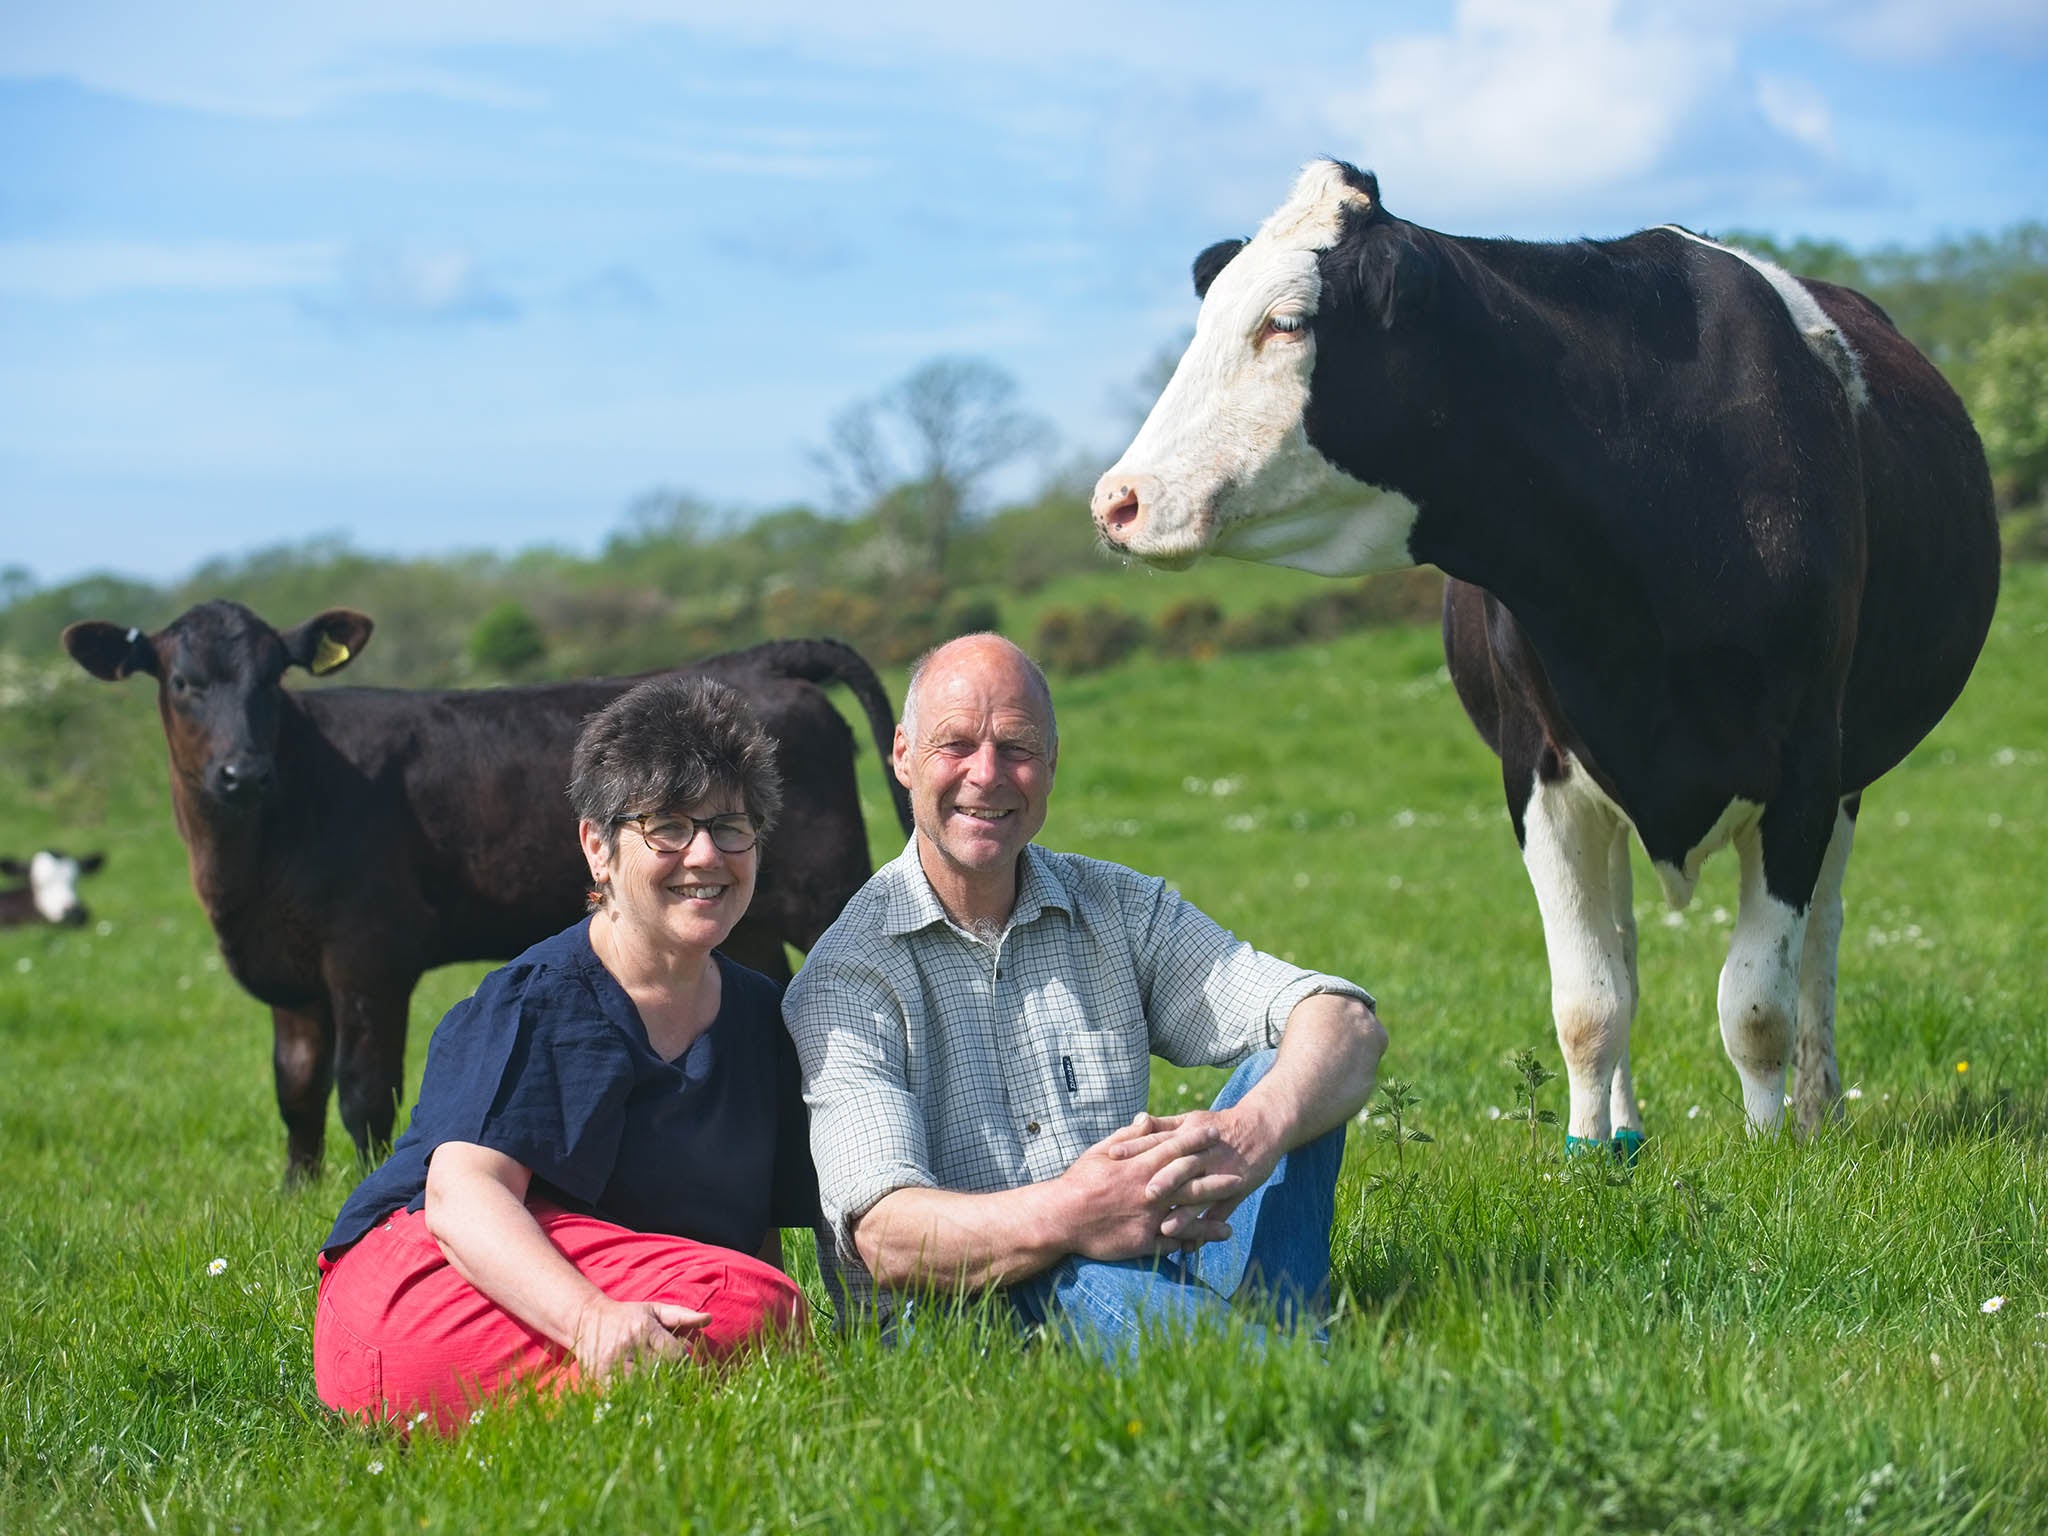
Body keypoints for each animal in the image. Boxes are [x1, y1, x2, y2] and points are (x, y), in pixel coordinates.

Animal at [1089, 162, 1998, 1163]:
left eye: (1285, 322)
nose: (1118, 501)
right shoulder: (1538, 768)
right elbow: (1589, 1002)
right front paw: (1585, 1152)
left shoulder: (1805, 766)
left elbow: (1756, 1003)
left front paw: (1771, 1153)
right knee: (1625, 948)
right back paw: (1627, 1131)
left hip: (1845, 775)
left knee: (1821, 947)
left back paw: (1817, 1108)